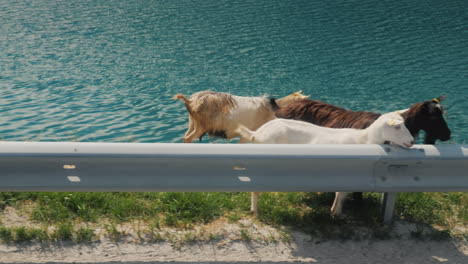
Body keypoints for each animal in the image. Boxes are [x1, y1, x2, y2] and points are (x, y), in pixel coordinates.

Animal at [236, 111, 414, 217]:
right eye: (397, 127)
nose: (412, 141)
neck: (364, 140)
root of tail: (256, 133)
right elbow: (340, 193)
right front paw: (336, 214)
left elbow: (343, 194)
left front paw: (337, 212)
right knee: (255, 189)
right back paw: (255, 211)